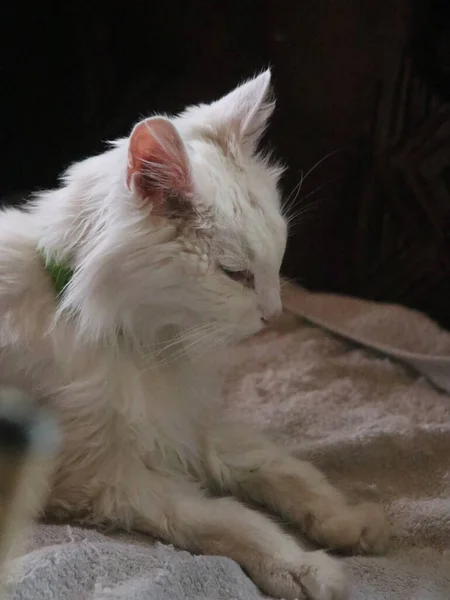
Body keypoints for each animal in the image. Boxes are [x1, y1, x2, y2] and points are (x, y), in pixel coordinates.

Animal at [0, 71, 386, 600]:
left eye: (277, 262)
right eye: (237, 275)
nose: (275, 314)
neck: (149, 343)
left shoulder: (189, 423)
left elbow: (278, 467)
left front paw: (346, 521)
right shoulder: (103, 478)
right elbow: (231, 518)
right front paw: (301, 566)